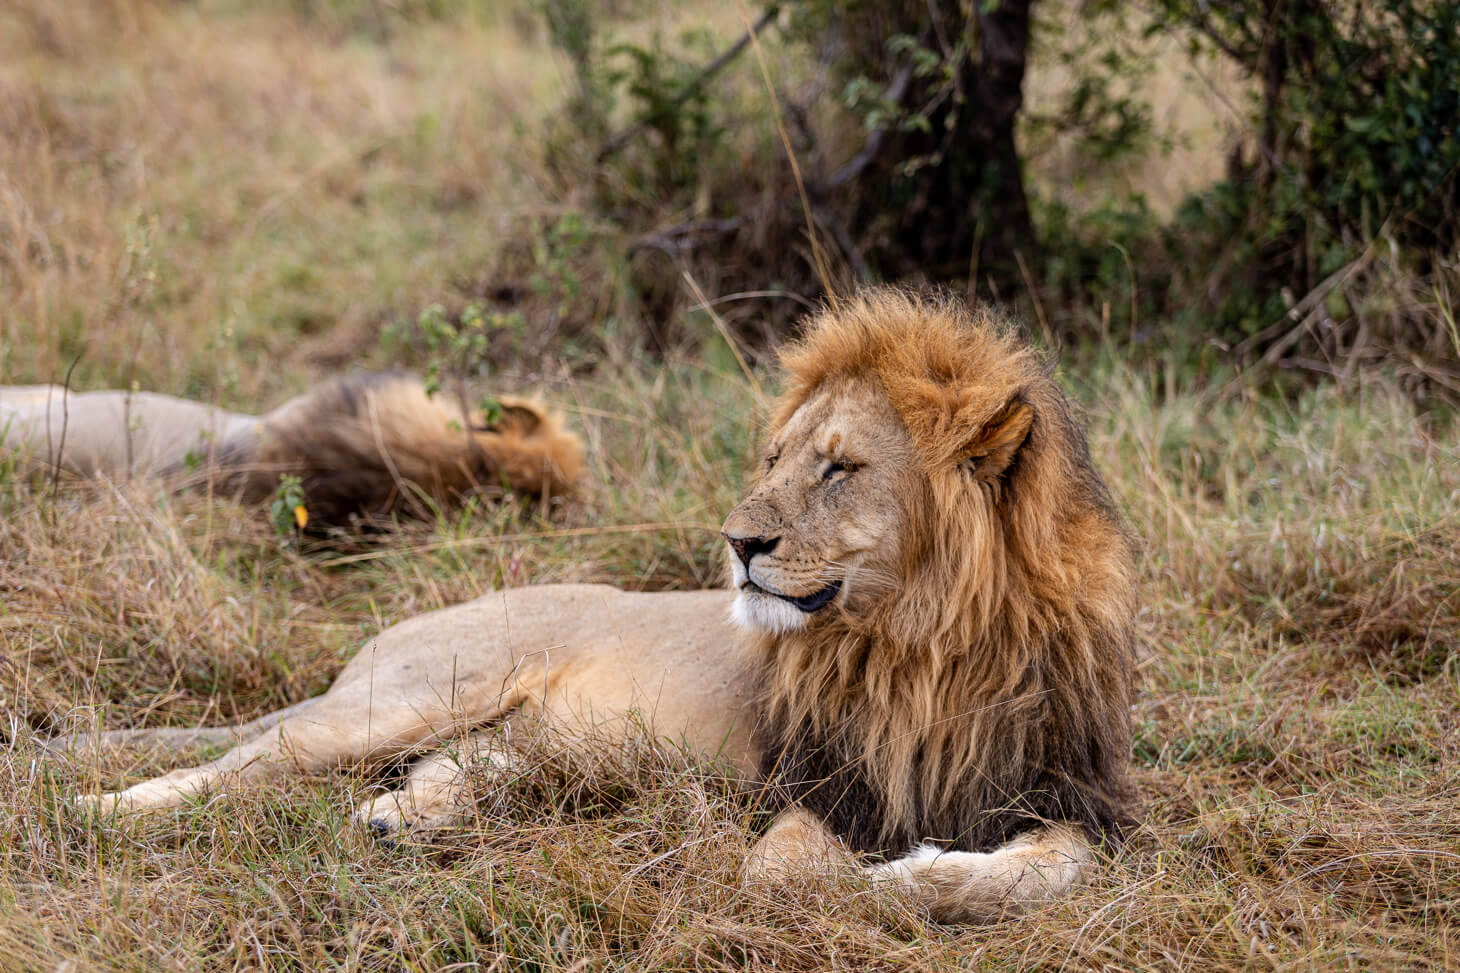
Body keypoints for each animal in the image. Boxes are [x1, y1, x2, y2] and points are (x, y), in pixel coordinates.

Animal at [62, 286, 1132, 917]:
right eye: (776, 459)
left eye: (840, 469)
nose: (737, 544)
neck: (925, 644)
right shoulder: (808, 786)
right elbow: (797, 872)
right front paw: (893, 875)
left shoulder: (1077, 799)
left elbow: (1049, 872)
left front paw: (932, 870)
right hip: (405, 696)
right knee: (240, 761)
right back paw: (96, 808)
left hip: (529, 746)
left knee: (452, 766)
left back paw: (400, 821)